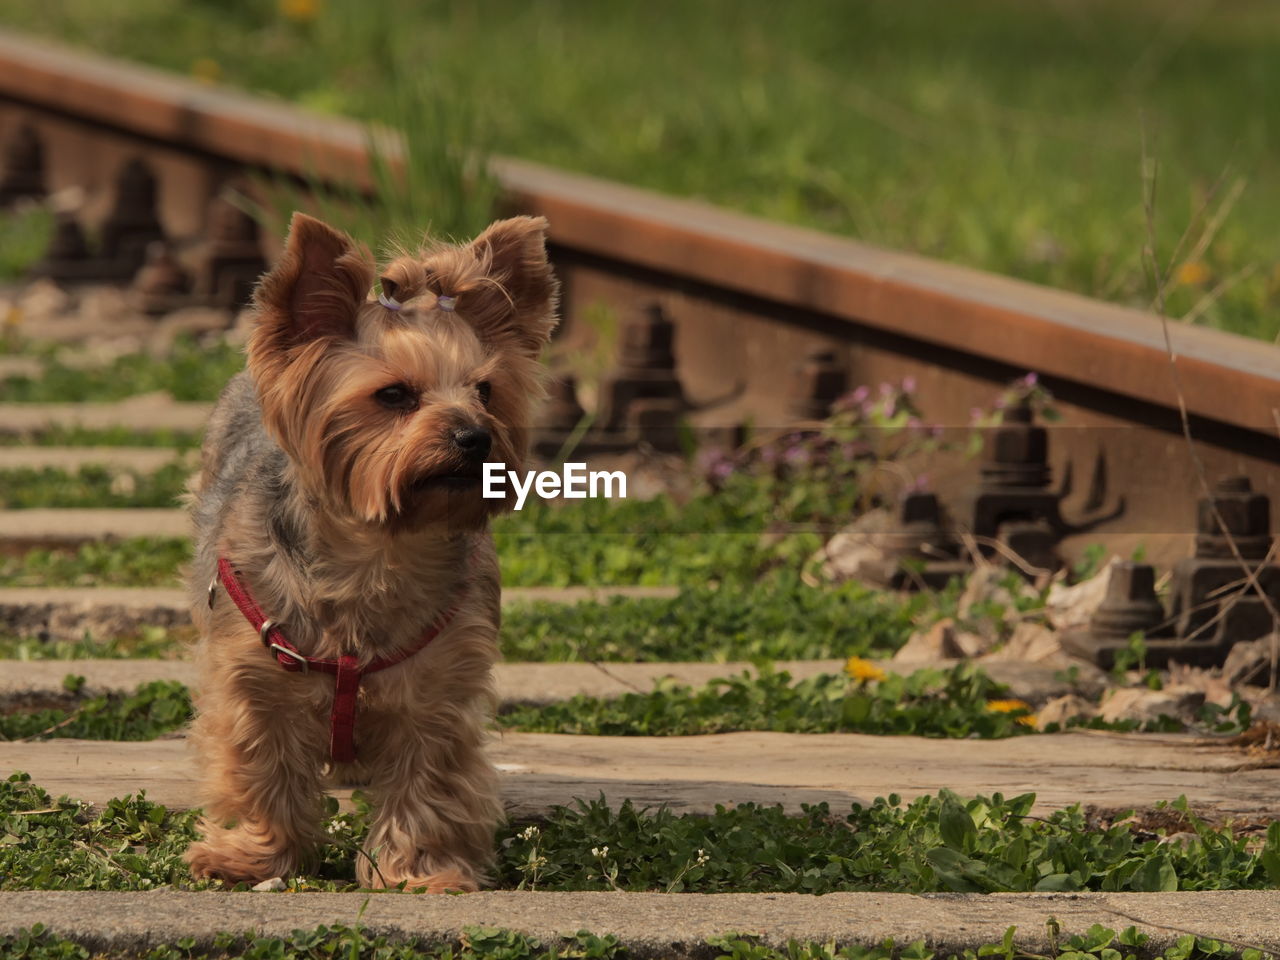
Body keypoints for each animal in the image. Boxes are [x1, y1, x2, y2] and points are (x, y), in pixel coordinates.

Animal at [184, 213, 555, 890]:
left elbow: (428, 781)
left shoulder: (439, 690)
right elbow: (259, 764)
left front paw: (419, 871)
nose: (477, 435)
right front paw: (251, 856)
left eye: (487, 391)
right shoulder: (253, 677)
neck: (377, 550)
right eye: (394, 395)